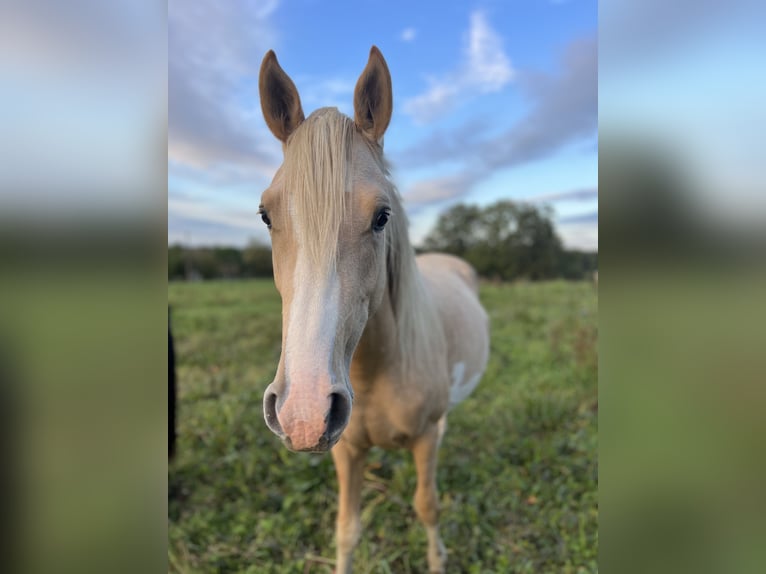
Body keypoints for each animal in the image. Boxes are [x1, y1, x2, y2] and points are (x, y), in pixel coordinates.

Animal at [260, 46, 492, 574]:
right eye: (265, 215)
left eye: (382, 216)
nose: (304, 413)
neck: (377, 369)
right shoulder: (345, 450)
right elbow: (347, 530)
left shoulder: (424, 441)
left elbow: (428, 507)